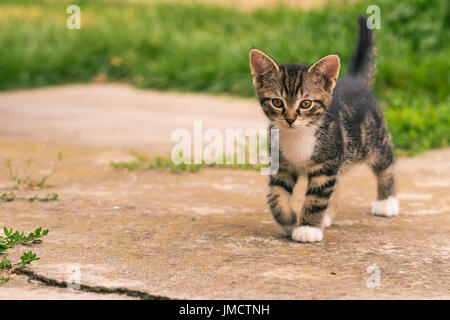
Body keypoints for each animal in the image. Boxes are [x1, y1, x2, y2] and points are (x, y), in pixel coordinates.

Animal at [248, 16, 400, 242]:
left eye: (305, 104)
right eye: (277, 102)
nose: (290, 119)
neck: (298, 135)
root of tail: (355, 80)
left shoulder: (325, 166)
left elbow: (316, 197)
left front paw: (307, 228)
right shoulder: (282, 165)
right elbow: (276, 195)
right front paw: (289, 220)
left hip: (374, 137)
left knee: (386, 164)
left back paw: (386, 202)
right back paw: (327, 216)